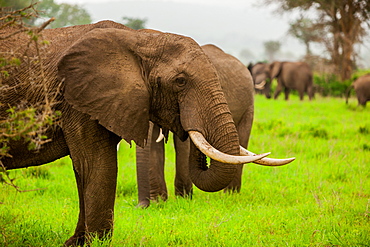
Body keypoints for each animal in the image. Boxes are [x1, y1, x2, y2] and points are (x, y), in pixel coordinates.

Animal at [0, 20, 276, 245]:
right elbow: (94, 165)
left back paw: (231, 195)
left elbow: (89, 167)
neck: (140, 39)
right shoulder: (79, 99)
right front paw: (88, 242)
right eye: (180, 81)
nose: (142, 207)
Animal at [134, 44, 294, 208]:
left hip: (249, 104)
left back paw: (230, 195)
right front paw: (159, 202)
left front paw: (183, 199)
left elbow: (182, 144)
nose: (140, 206)